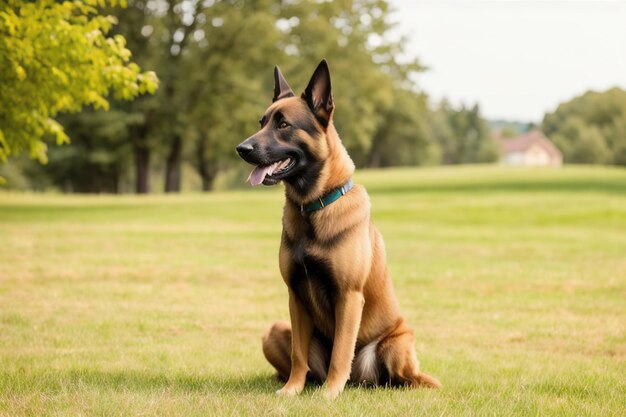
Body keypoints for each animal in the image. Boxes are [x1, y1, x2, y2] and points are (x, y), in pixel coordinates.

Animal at [234, 60, 438, 398]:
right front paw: (292, 390)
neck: (313, 208)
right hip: (274, 330)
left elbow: (341, 352)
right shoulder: (295, 297)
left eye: (283, 124)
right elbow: (299, 355)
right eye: (262, 122)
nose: (241, 148)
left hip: (397, 343)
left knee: (403, 378)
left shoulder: (349, 297)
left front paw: (329, 394)